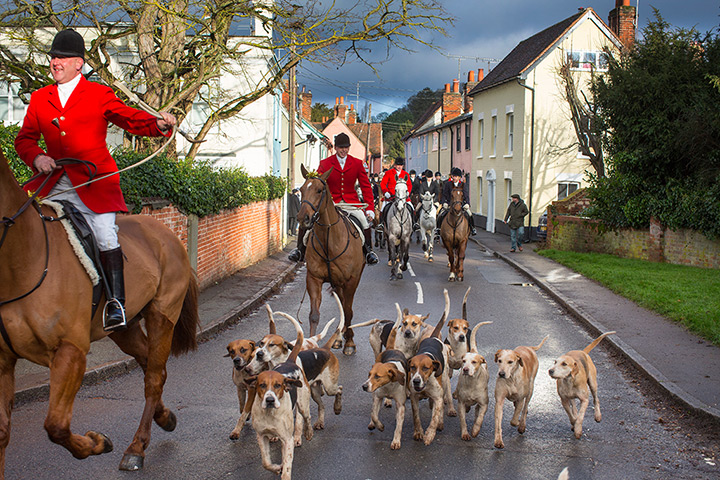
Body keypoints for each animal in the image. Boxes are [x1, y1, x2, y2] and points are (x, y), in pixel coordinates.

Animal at [0, 152, 198, 474]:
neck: (23, 258)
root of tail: (166, 234)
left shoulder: (70, 353)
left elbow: (56, 426)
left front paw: (98, 442)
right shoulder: (3, 359)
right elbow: (4, 431)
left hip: (162, 316)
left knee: (153, 378)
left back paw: (136, 448)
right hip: (125, 330)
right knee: (151, 367)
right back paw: (164, 417)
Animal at [296, 165, 366, 356]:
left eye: (320, 190)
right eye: (301, 190)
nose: (302, 218)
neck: (330, 240)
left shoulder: (351, 281)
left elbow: (348, 312)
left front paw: (350, 343)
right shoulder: (313, 278)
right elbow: (314, 314)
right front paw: (311, 343)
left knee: (346, 308)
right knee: (341, 303)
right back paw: (338, 338)